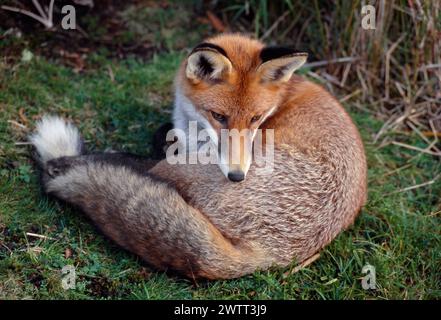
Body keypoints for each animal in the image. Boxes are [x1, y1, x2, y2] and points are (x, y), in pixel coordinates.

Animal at [31, 33, 366, 278]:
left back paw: (62, 165)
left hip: (184, 169)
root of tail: (269, 255)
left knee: (132, 170)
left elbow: (135, 156)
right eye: (219, 116)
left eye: (256, 119)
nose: (236, 176)